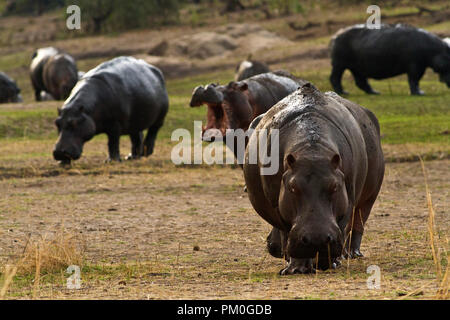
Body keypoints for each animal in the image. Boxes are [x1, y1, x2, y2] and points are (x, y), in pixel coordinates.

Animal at [244, 84, 384, 274]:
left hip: (369, 196)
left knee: (358, 222)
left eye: (334, 186)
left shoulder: (348, 198)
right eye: (293, 187)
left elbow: (343, 224)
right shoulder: (278, 205)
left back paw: (351, 254)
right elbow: (286, 231)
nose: (316, 239)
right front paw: (295, 269)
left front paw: (328, 262)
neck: (312, 150)